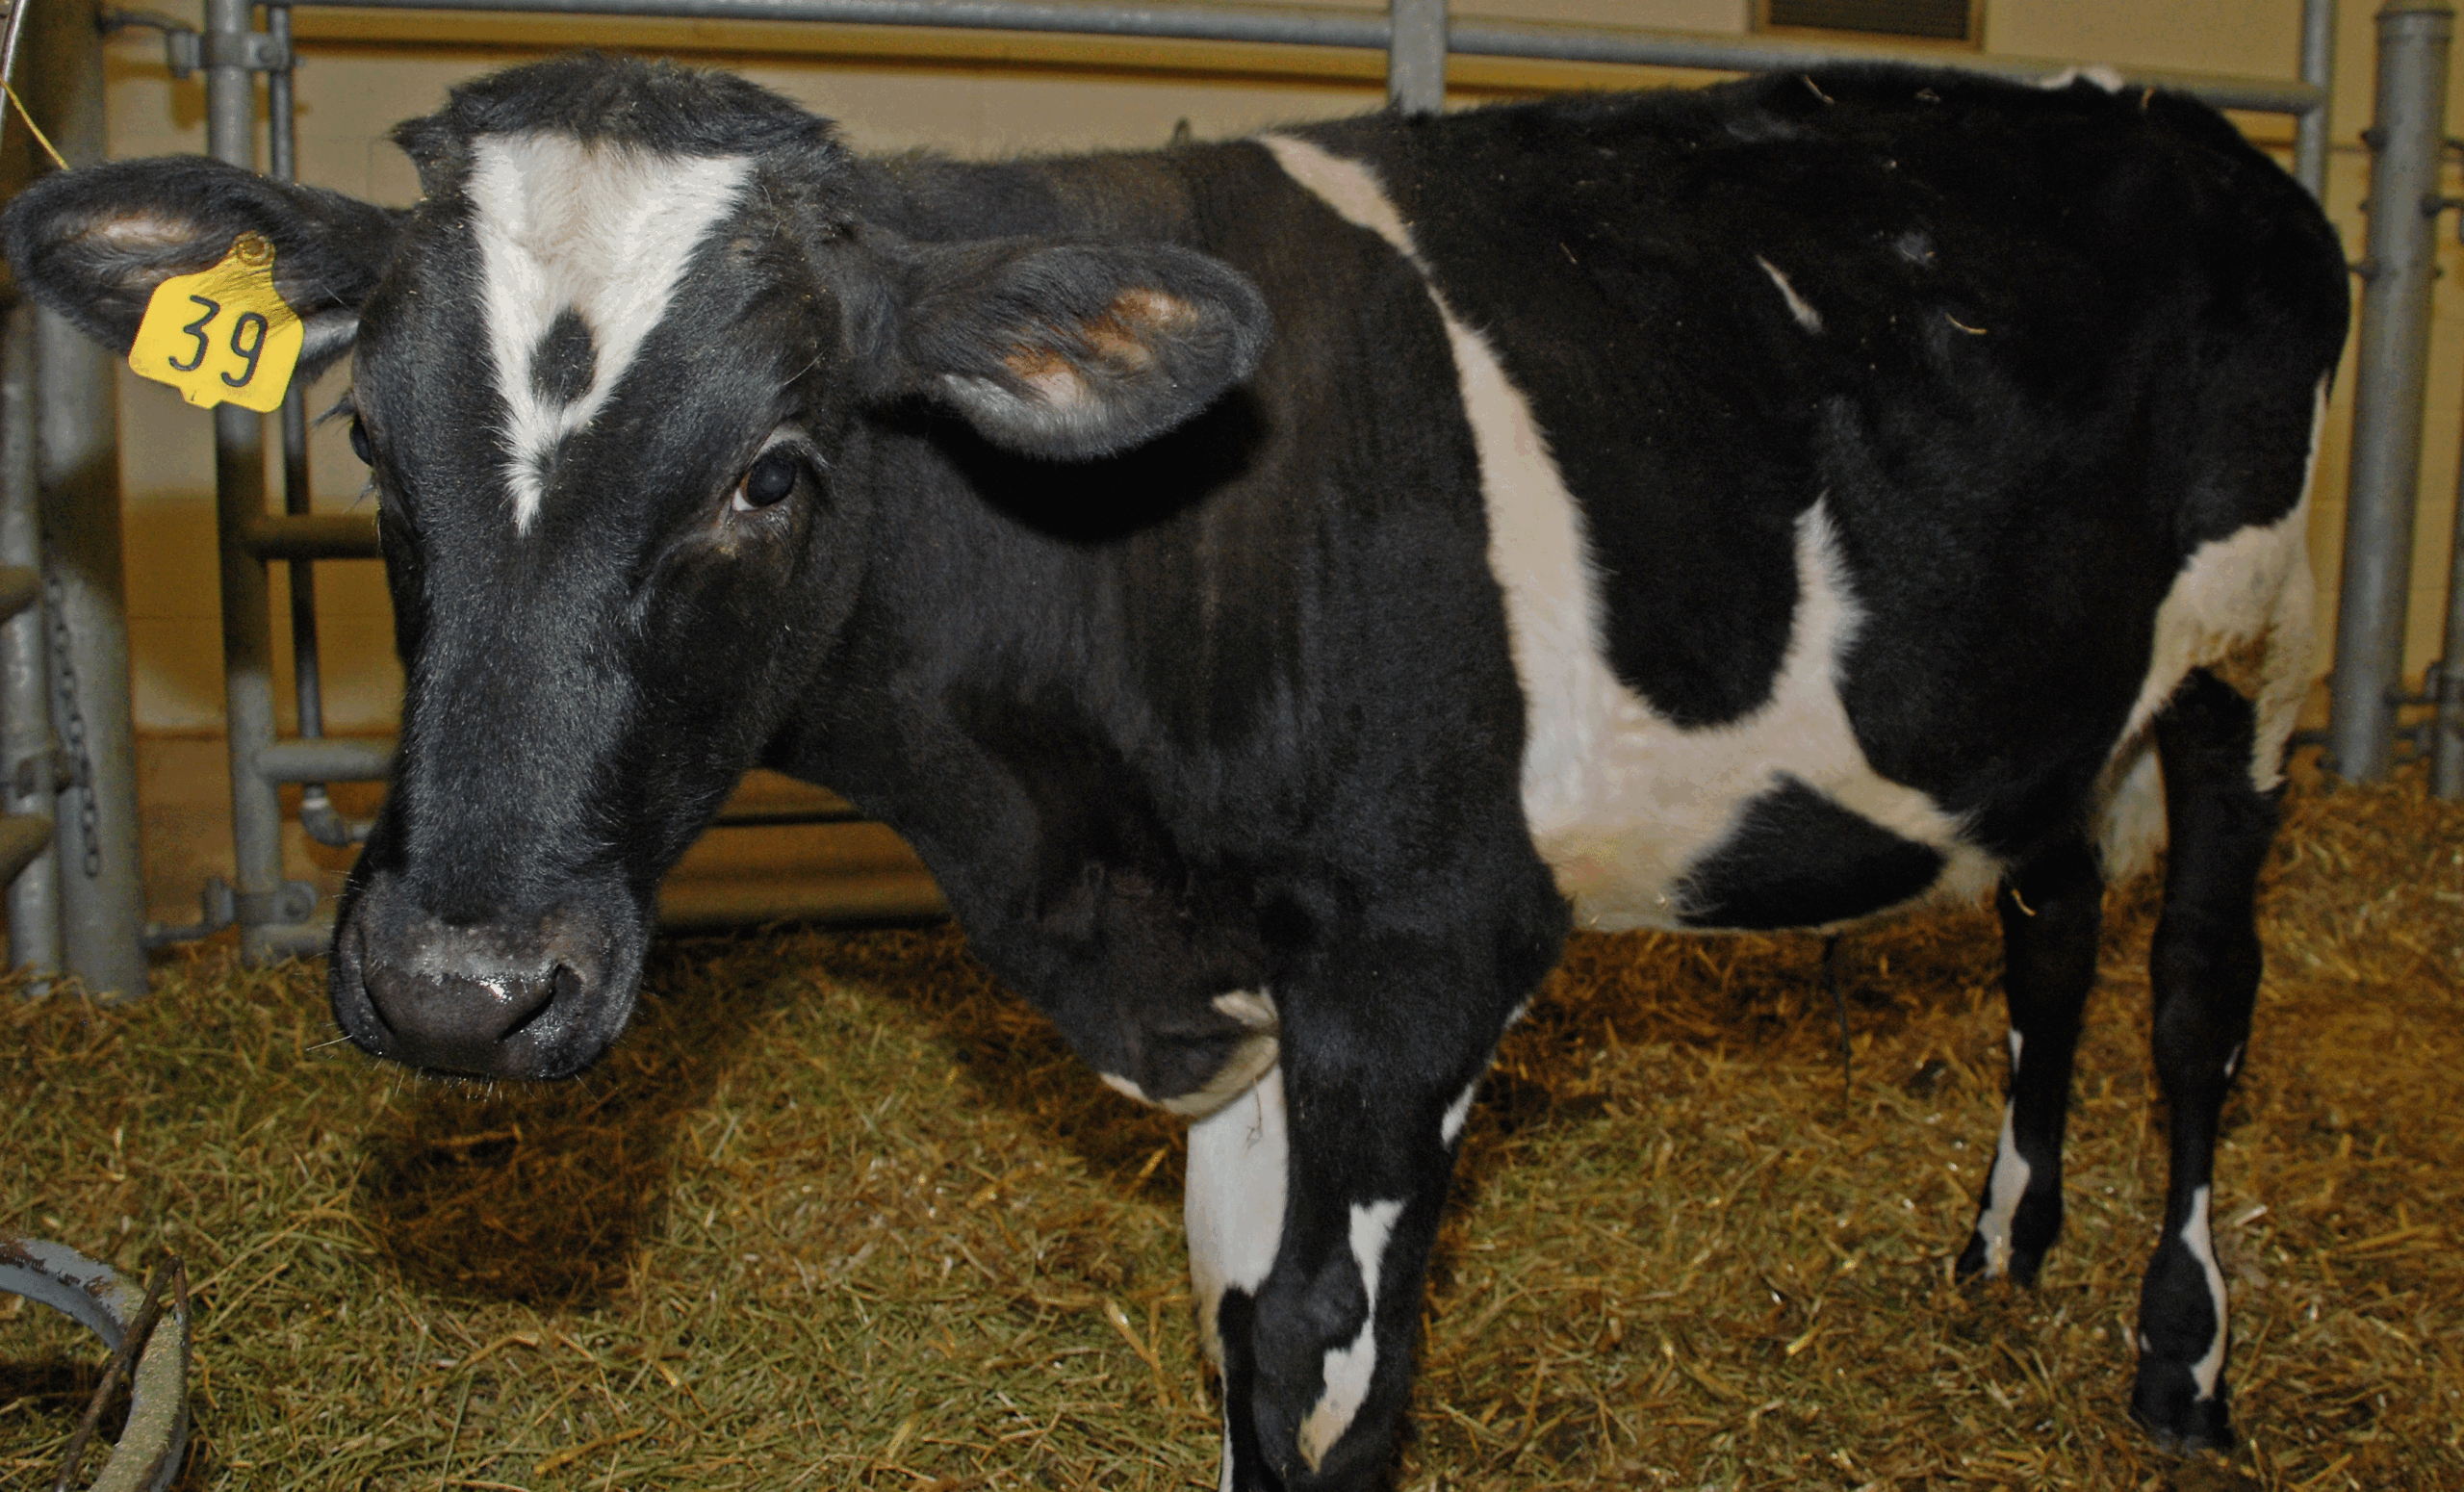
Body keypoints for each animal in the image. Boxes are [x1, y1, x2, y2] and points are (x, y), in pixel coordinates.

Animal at [4, 53, 2346, 1488]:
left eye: (775, 471)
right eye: (362, 442)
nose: (456, 988)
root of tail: (2171, 120)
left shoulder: (1417, 958)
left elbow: (1329, 1355)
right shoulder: (1232, 985)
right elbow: (1233, 1332)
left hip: (2257, 664)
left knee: (2198, 995)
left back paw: (2179, 1364)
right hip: (2049, 707)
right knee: (2051, 920)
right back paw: (2002, 1252)